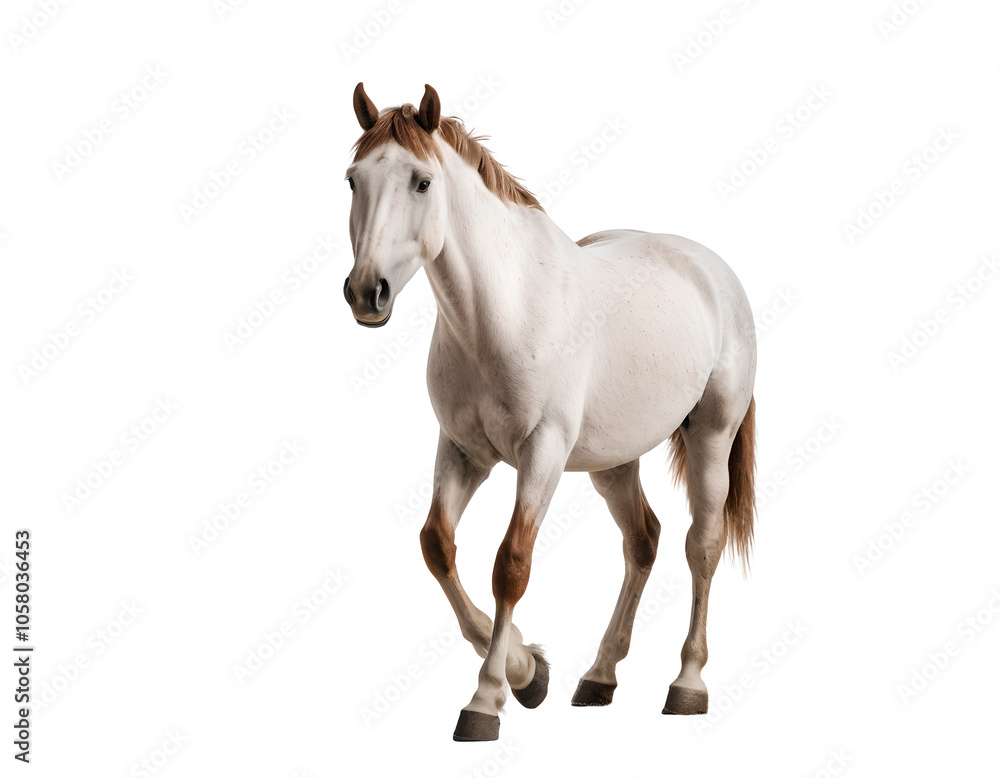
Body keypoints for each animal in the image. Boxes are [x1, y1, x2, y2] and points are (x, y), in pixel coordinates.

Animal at [343, 82, 757, 742]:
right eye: (354, 180)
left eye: (421, 182)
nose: (366, 292)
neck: (500, 312)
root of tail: (709, 268)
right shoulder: (462, 451)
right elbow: (437, 545)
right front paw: (528, 670)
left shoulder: (542, 451)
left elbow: (511, 563)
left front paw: (489, 696)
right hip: (612, 461)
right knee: (643, 540)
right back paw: (600, 675)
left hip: (712, 438)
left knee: (703, 545)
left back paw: (688, 682)